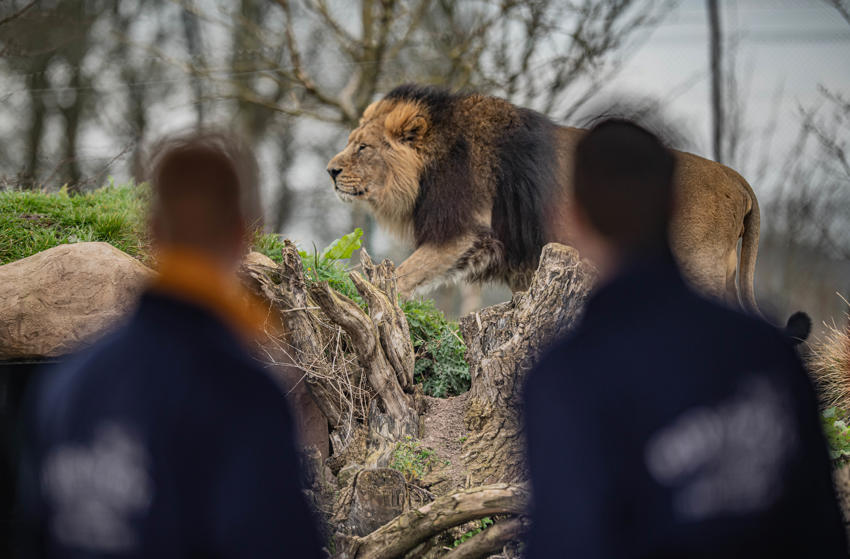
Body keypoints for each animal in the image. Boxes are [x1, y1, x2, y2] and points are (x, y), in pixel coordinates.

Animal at [326, 84, 779, 324]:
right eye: (351, 142)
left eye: (363, 147)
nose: (330, 171)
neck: (430, 166)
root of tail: (738, 180)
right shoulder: (519, 258)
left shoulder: (463, 233)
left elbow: (403, 275)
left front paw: (361, 293)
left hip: (697, 268)